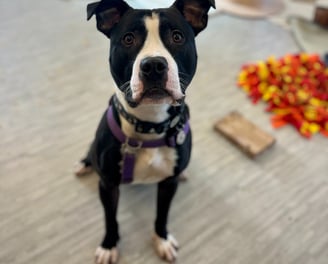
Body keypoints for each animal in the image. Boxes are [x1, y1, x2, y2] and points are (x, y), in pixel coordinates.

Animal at [76, 1, 215, 262]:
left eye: (177, 37)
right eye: (128, 39)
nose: (153, 65)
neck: (150, 124)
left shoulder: (168, 185)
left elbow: (162, 214)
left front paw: (162, 239)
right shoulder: (108, 185)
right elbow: (110, 218)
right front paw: (109, 245)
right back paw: (84, 164)